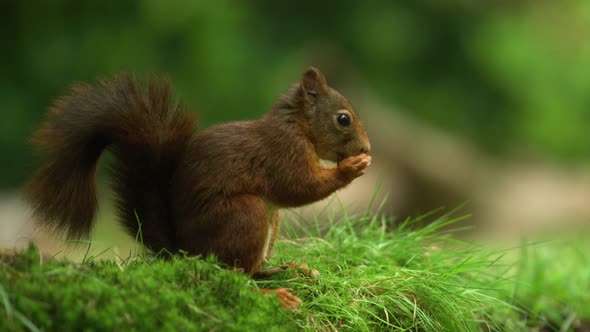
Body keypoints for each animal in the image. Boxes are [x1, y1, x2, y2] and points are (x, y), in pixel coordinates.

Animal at [27, 67, 372, 306]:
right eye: (343, 119)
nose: (367, 148)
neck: (298, 126)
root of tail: (183, 250)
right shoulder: (282, 152)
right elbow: (299, 187)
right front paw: (350, 168)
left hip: (269, 221)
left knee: (251, 271)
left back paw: (294, 269)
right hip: (245, 215)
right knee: (235, 276)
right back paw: (274, 295)